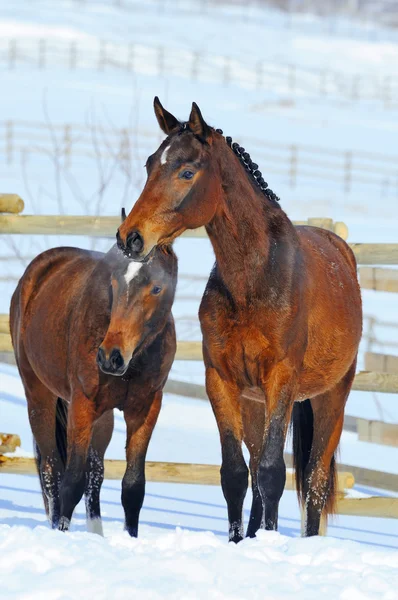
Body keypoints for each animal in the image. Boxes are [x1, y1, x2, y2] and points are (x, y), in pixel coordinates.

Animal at [10, 233, 177, 536]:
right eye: (114, 282)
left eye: (157, 287)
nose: (111, 356)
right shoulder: (82, 406)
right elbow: (72, 482)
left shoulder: (145, 410)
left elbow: (133, 487)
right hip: (39, 397)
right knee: (52, 470)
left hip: (103, 418)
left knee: (94, 474)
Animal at [116, 97, 364, 540]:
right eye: (149, 165)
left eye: (187, 171)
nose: (131, 237)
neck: (255, 279)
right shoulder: (222, 380)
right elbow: (235, 475)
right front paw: (239, 542)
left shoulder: (282, 380)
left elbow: (272, 473)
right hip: (255, 405)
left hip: (330, 398)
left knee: (315, 480)